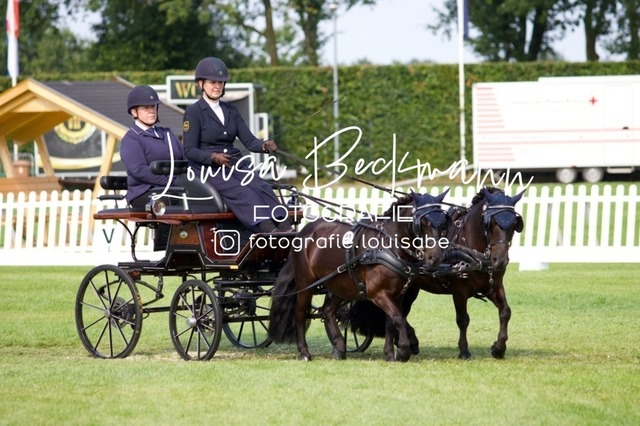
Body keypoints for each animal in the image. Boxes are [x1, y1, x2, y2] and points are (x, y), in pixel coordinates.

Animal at [267, 190, 451, 362]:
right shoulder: (378, 294)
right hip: (306, 283)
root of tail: (304, 232)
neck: (387, 246)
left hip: (341, 286)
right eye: (423, 222)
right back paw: (304, 352)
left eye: (443, 223)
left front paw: (390, 354)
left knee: (328, 311)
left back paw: (339, 348)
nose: (435, 257)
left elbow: (391, 321)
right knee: (300, 313)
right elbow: (398, 318)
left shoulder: (397, 294)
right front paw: (403, 351)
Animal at [349, 187, 525, 360]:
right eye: (490, 222)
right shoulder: (459, 291)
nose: (500, 260)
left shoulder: (494, 286)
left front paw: (499, 348)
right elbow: (463, 319)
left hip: (409, 288)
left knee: (400, 312)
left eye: (514, 223)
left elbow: (505, 312)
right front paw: (464, 351)